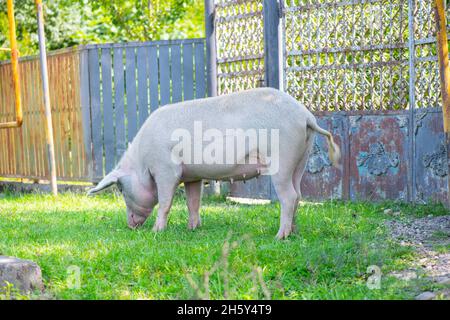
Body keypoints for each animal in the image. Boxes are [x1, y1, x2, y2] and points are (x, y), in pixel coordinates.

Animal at [87, 86, 342, 239]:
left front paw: (157, 232)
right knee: (298, 194)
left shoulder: (166, 170)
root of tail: (306, 116)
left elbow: (166, 201)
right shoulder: (192, 176)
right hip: (301, 158)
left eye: (121, 189)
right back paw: (293, 232)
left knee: (289, 196)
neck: (142, 160)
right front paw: (193, 228)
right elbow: (193, 202)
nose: (130, 225)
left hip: (283, 156)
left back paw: (279, 236)